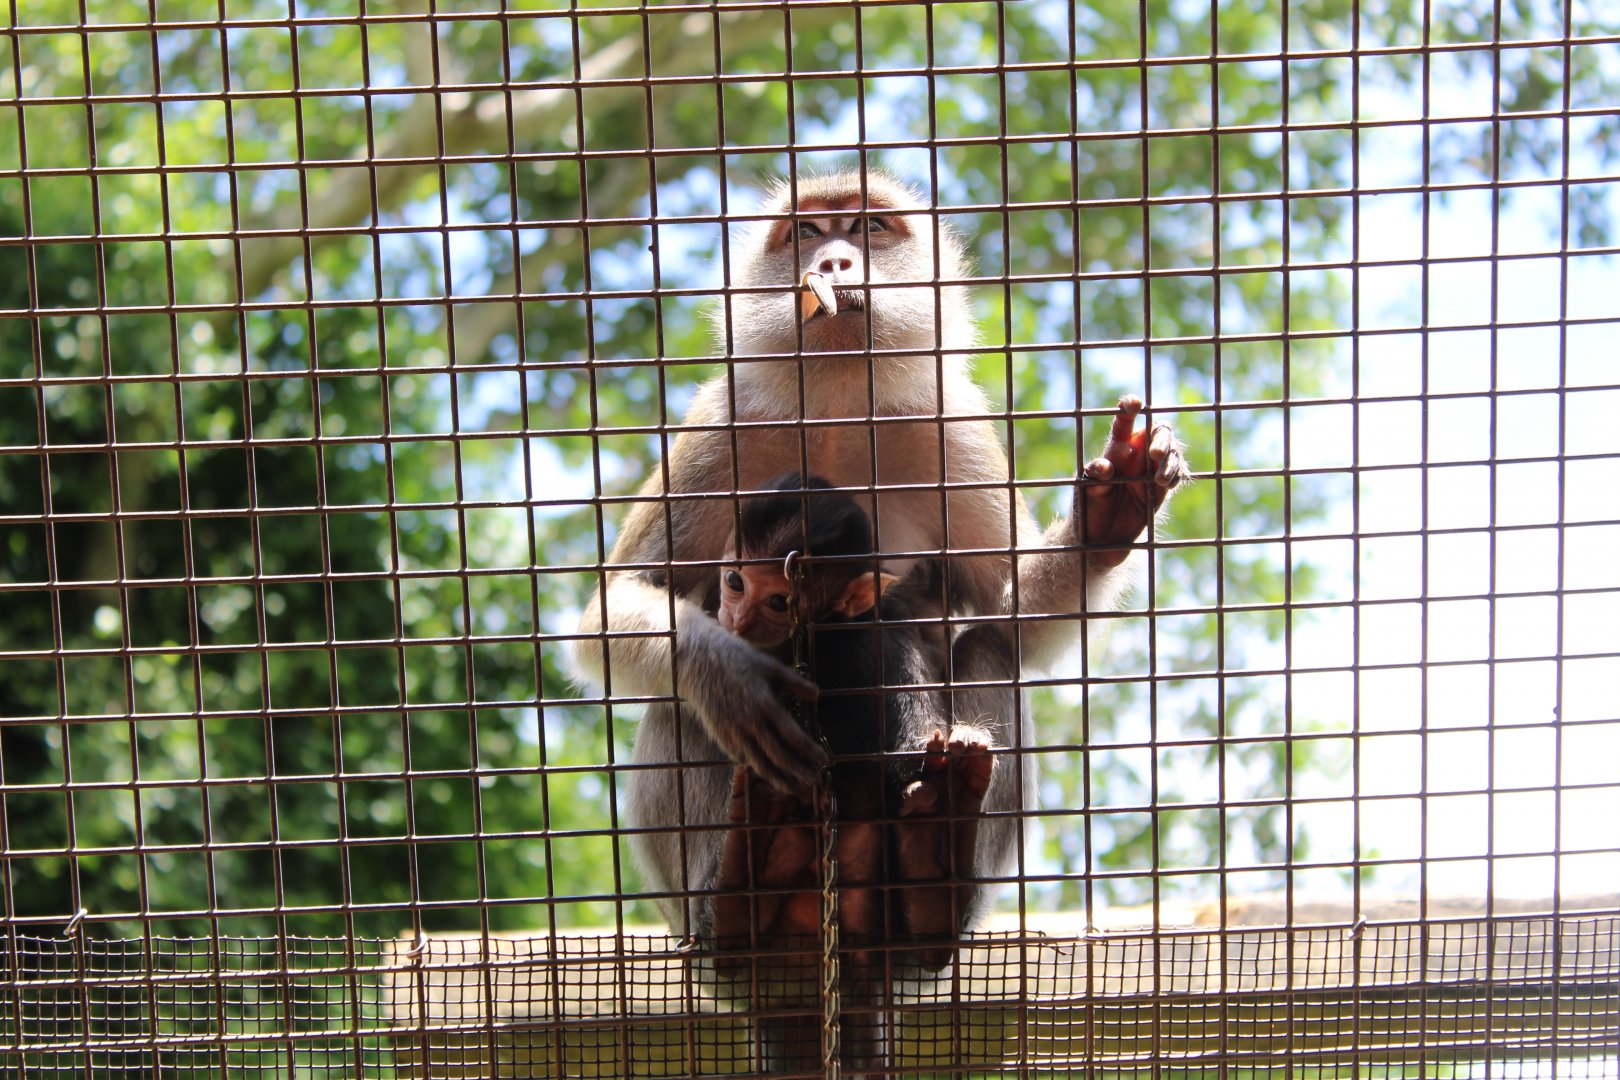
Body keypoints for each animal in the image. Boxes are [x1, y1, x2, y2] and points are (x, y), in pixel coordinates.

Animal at [568, 170, 1190, 1058]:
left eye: (865, 228)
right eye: (805, 233)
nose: (832, 261)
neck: (835, 401)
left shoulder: (951, 427)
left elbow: (1013, 620)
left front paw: (1108, 517)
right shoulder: (719, 426)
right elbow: (615, 608)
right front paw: (727, 670)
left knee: (986, 657)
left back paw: (930, 888)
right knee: (676, 703)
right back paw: (737, 907)